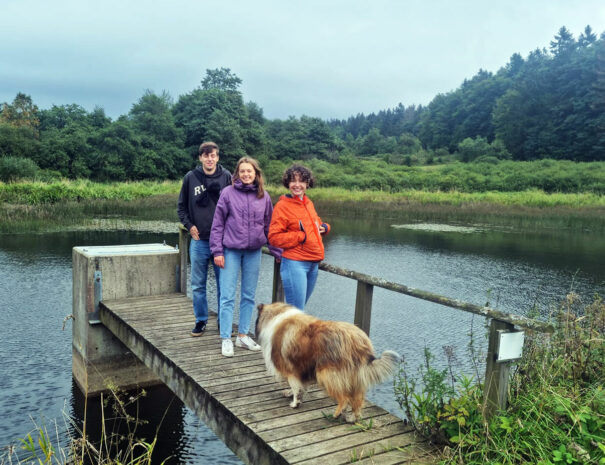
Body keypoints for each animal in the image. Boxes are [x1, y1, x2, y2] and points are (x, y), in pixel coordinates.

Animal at [256, 300, 402, 420]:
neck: (276, 315)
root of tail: (358, 340)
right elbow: (300, 386)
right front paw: (292, 394)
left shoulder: (291, 370)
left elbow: (295, 386)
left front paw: (294, 403)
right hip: (355, 376)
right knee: (358, 399)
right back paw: (353, 417)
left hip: (326, 373)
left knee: (344, 398)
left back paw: (337, 413)